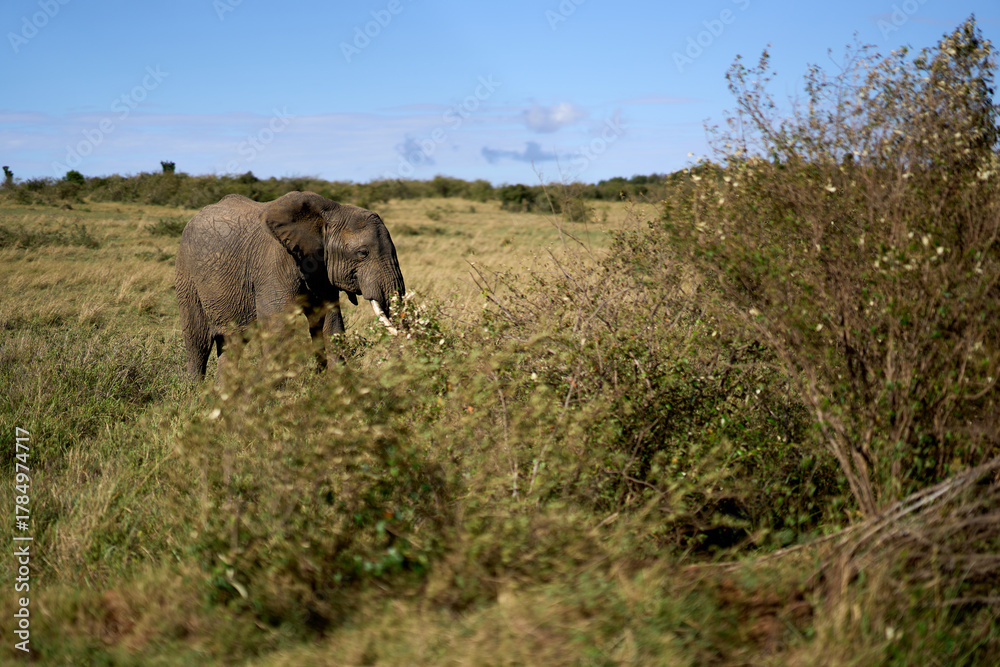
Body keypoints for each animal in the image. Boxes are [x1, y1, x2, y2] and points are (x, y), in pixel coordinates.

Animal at [175, 191, 405, 379]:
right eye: (362, 253)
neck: (329, 214)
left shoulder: (321, 270)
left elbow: (330, 323)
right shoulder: (273, 263)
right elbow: (277, 327)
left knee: (232, 344)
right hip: (186, 274)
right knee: (197, 342)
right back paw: (195, 396)